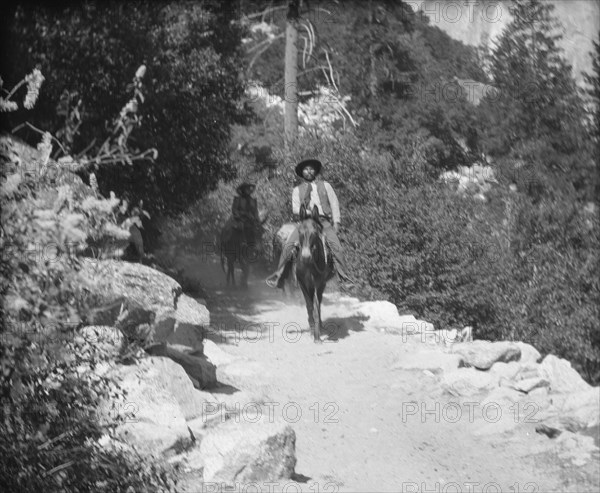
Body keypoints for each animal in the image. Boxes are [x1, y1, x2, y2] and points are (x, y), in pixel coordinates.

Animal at [296, 204, 336, 342]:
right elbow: (309, 306)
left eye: (315, 232)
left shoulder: (318, 283)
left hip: (320, 285)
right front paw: (312, 330)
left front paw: (317, 337)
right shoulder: (302, 283)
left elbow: (316, 308)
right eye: (299, 231)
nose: (306, 256)